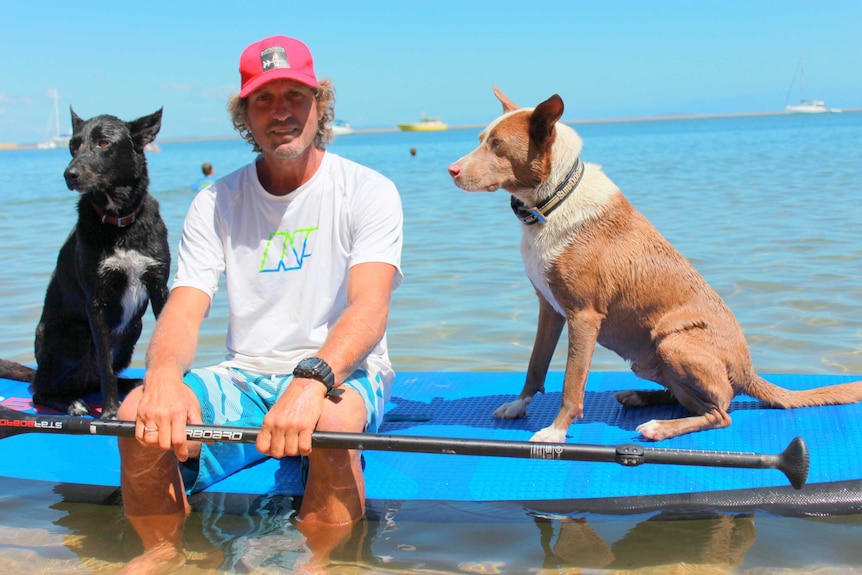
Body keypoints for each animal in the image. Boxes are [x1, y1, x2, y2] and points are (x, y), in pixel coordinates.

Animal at [0, 108, 171, 420]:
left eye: (104, 143)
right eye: (73, 145)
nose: (69, 175)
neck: (119, 221)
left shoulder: (158, 287)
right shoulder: (96, 303)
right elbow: (105, 366)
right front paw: (110, 412)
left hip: (133, 329)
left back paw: (134, 382)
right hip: (76, 336)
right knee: (42, 391)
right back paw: (72, 403)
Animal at [448, 88, 862, 444]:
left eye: (498, 146)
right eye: (481, 138)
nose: (452, 170)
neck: (553, 201)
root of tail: (749, 371)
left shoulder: (584, 316)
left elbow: (572, 382)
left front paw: (556, 431)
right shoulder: (549, 309)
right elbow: (535, 365)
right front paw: (519, 406)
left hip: (672, 339)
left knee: (720, 412)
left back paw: (659, 427)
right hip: (652, 358)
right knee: (694, 400)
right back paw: (640, 398)